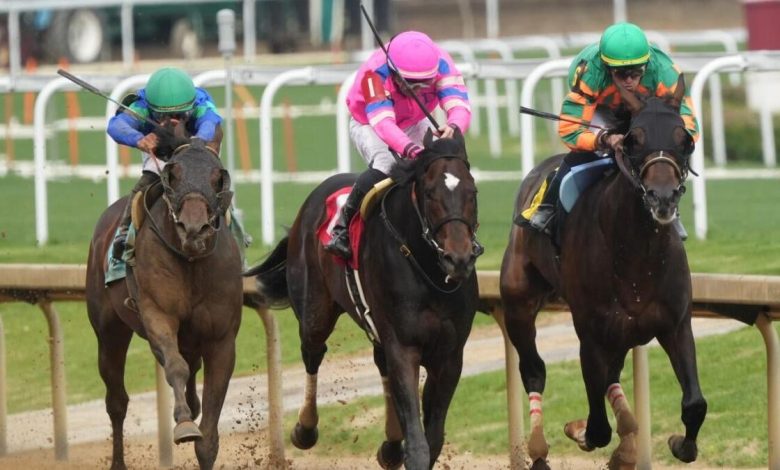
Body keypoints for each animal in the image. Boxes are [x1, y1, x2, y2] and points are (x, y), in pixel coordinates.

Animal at [85, 127, 242, 470]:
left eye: (218, 177)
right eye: (173, 174)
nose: (194, 229)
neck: (191, 260)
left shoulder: (221, 338)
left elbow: (209, 429)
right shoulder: (157, 314)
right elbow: (176, 366)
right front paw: (183, 423)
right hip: (109, 331)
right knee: (116, 400)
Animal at [244, 129, 482, 470]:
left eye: (472, 192)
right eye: (429, 193)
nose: (458, 259)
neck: (430, 272)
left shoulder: (449, 355)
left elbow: (433, 439)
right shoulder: (404, 346)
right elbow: (419, 444)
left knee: (379, 363)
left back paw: (390, 446)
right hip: (315, 311)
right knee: (313, 352)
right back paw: (305, 429)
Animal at [499, 76, 706, 470]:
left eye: (685, 140)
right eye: (633, 139)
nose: (662, 197)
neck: (637, 254)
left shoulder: (675, 324)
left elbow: (695, 404)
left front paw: (677, 443)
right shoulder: (590, 334)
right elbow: (597, 429)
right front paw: (581, 431)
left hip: (622, 333)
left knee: (612, 376)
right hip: (518, 301)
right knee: (534, 370)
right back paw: (538, 448)